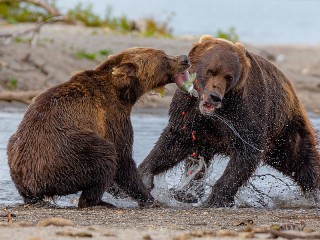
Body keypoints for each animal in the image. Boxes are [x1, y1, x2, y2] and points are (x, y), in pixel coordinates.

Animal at [7, 47, 190, 208]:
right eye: (164, 58)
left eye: (165, 53)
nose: (185, 58)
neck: (122, 92)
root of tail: (30, 183)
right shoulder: (112, 117)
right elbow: (122, 158)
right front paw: (150, 199)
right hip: (63, 156)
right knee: (104, 155)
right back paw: (99, 201)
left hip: (15, 148)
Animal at [139, 36, 320, 208]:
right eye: (210, 71)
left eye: (229, 77)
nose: (215, 96)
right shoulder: (189, 111)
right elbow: (174, 141)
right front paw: (144, 174)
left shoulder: (243, 112)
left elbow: (246, 151)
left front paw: (216, 199)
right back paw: (186, 192)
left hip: (285, 130)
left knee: (301, 160)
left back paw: (314, 194)